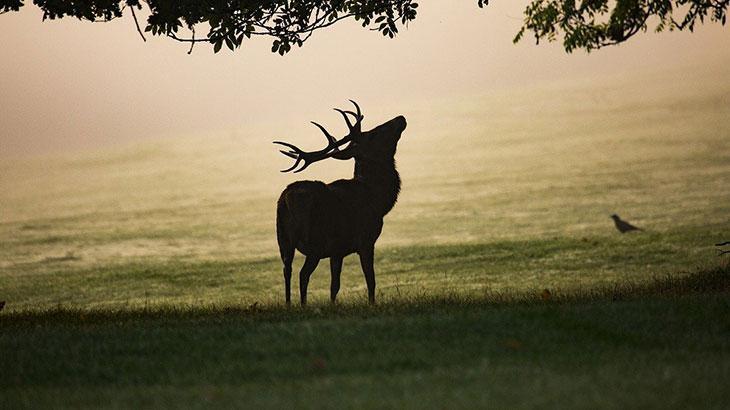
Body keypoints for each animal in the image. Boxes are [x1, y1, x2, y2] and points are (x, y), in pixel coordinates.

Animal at [276, 100, 406, 304]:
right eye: (373, 134)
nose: (400, 118)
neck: (378, 200)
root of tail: (287, 199)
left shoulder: (337, 251)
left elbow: (334, 286)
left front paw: (332, 305)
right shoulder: (366, 239)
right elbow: (371, 280)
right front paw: (372, 304)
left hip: (283, 239)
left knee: (287, 270)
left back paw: (290, 304)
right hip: (315, 241)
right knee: (303, 274)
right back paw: (303, 305)